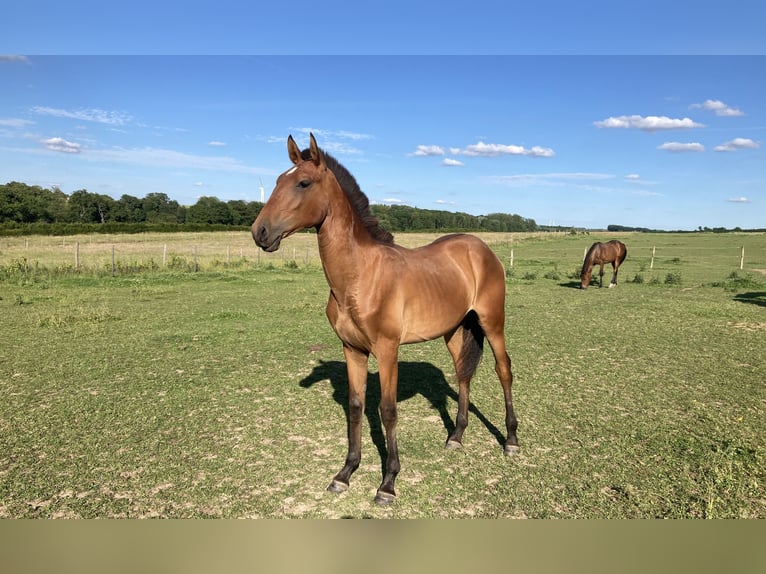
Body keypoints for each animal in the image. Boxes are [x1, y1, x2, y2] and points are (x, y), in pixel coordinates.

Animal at [252, 133, 519, 505]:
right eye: (276, 181)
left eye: (303, 183)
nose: (259, 232)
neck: (360, 276)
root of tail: (481, 249)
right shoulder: (352, 349)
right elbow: (356, 406)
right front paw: (345, 474)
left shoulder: (388, 350)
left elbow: (388, 410)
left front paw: (388, 483)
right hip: (454, 331)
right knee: (463, 375)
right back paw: (456, 436)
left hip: (492, 323)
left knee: (503, 370)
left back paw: (511, 440)